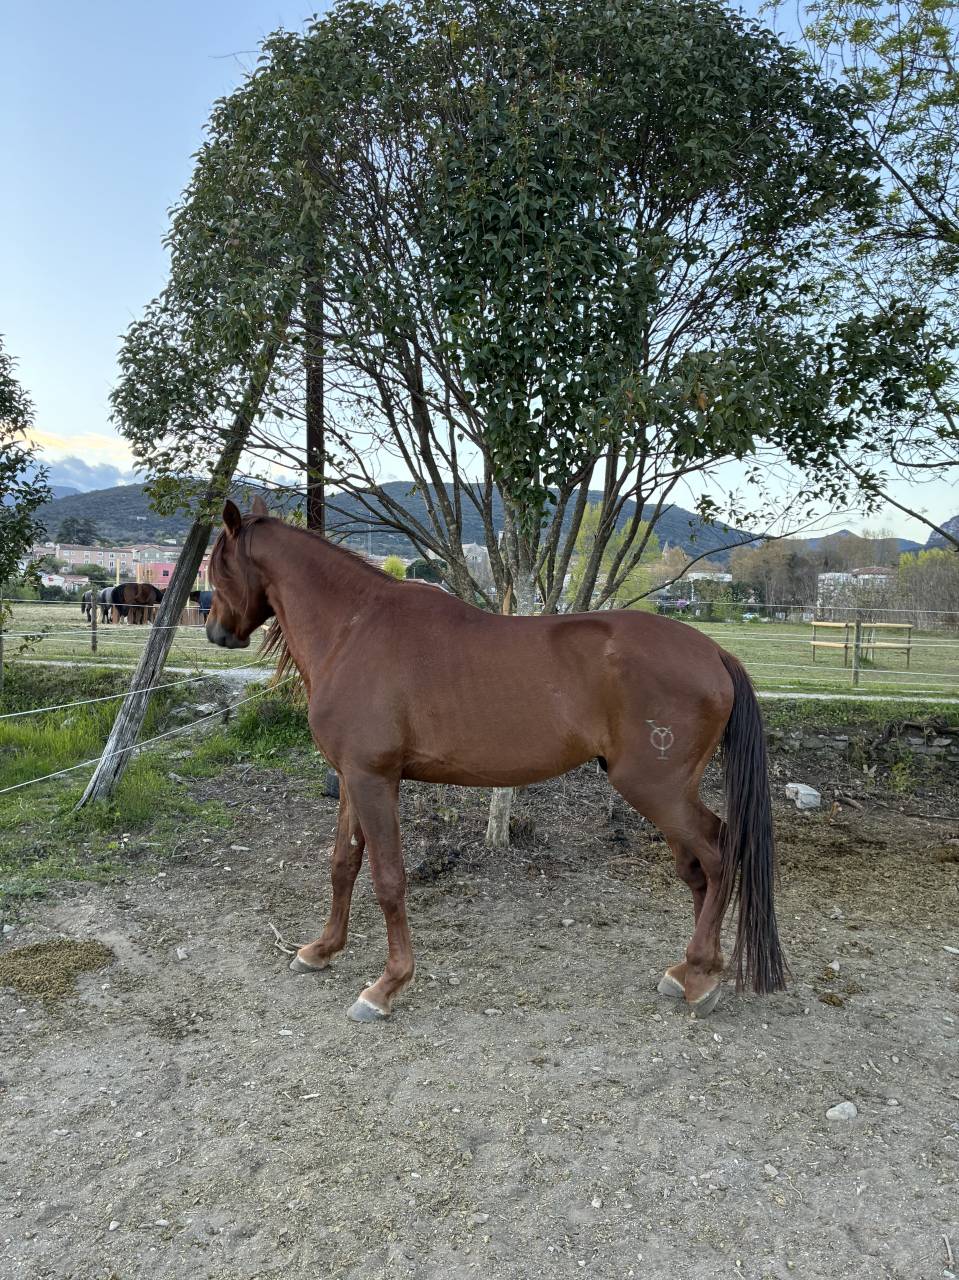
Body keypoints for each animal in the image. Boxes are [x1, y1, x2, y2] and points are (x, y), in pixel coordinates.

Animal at [206, 497, 786, 1024]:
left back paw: (702, 973)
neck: (354, 629)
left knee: (718, 855)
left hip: (655, 788)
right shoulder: (352, 779)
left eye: (217, 563)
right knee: (697, 870)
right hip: (666, 794)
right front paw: (322, 950)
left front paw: (387, 986)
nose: (216, 631)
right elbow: (343, 865)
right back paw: (690, 972)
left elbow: (389, 879)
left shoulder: (375, 780)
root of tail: (714, 654)